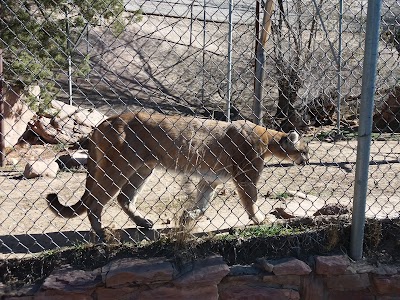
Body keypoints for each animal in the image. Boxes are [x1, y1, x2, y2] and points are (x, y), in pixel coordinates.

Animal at [47, 110, 310, 239]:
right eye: (304, 149)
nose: (307, 160)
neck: (269, 139)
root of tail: (104, 122)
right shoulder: (246, 177)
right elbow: (251, 200)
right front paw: (261, 220)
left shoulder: (210, 180)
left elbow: (202, 204)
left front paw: (186, 217)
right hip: (118, 167)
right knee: (95, 201)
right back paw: (102, 232)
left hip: (142, 168)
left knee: (124, 197)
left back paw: (143, 222)